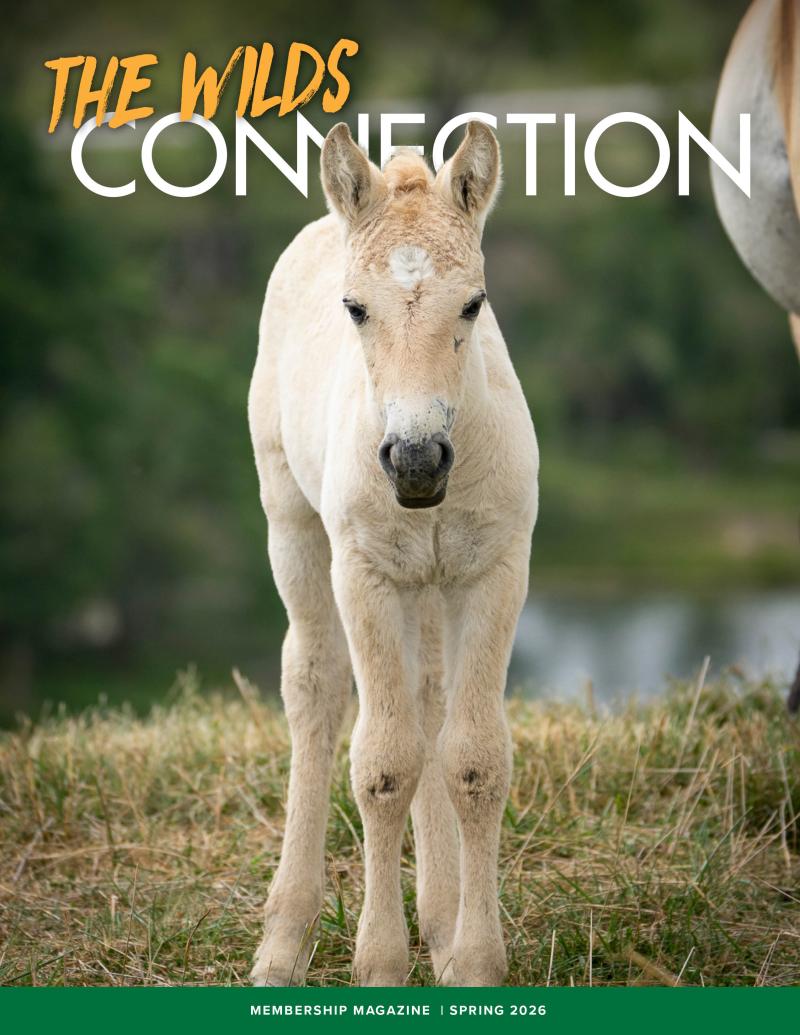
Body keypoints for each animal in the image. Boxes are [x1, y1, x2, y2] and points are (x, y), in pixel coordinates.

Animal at [247, 121, 538, 986]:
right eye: (355, 308)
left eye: (473, 303)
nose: (415, 460)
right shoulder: (366, 572)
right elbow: (382, 763)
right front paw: (378, 964)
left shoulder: (495, 568)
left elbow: (473, 758)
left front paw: (474, 961)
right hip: (292, 522)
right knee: (315, 686)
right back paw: (285, 938)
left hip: (433, 583)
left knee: (431, 699)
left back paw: (439, 921)